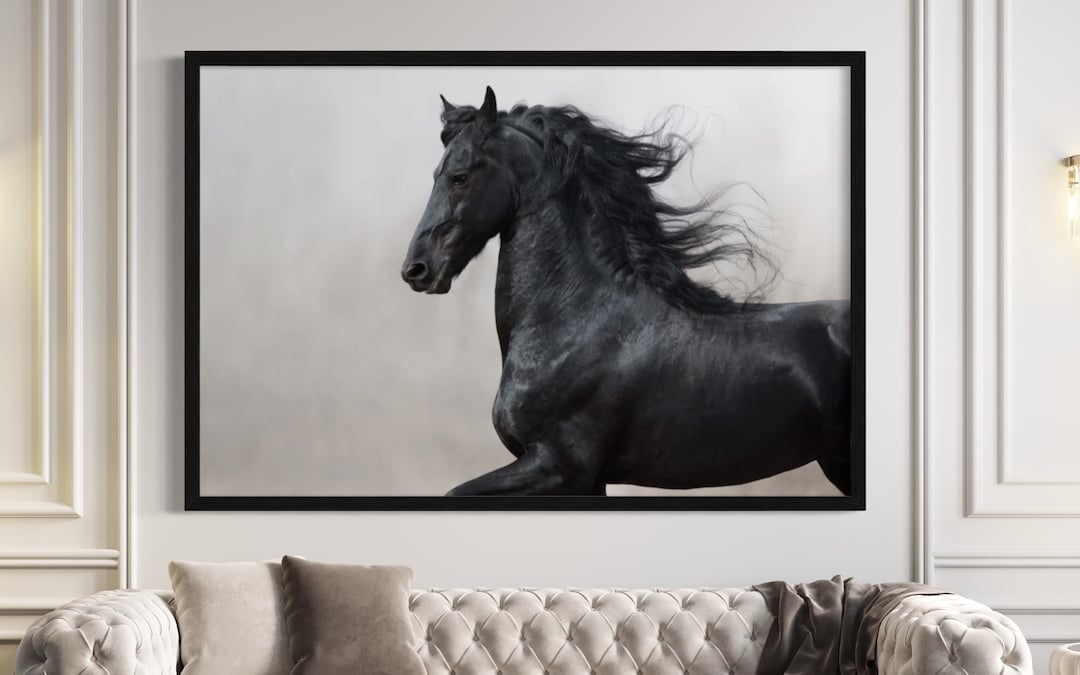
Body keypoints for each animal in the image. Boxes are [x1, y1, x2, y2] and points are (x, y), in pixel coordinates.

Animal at [401, 86, 852, 497]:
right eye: (436, 175)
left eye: (459, 177)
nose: (416, 269)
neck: (578, 320)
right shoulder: (586, 481)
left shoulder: (558, 467)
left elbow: (454, 493)